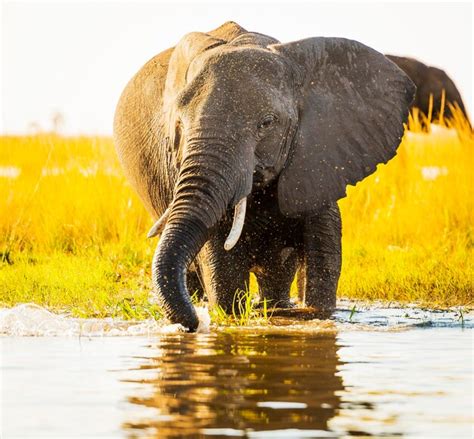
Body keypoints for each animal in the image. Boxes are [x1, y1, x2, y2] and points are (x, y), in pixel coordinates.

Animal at [114, 19, 414, 330]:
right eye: (178, 126)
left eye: (267, 123)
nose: (195, 323)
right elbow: (223, 269)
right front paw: (227, 316)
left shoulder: (318, 158)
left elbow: (324, 258)